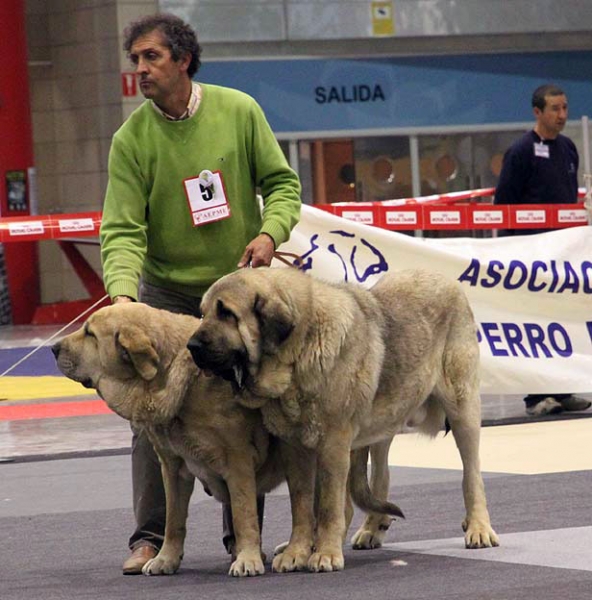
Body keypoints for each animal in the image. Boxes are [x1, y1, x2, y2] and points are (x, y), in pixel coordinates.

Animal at [188, 268, 500, 572]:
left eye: (227, 313)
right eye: (203, 313)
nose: (192, 345)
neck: (298, 353)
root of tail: (446, 279)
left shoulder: (333, 444)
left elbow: (328, 505)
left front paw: (325, 553)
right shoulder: (296, 449)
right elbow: (301, 505)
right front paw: (297, 552)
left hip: (462, 409)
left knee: (471, 475)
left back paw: (479, 527)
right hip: (384, 421)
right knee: (379, 476)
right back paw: (371, 528)